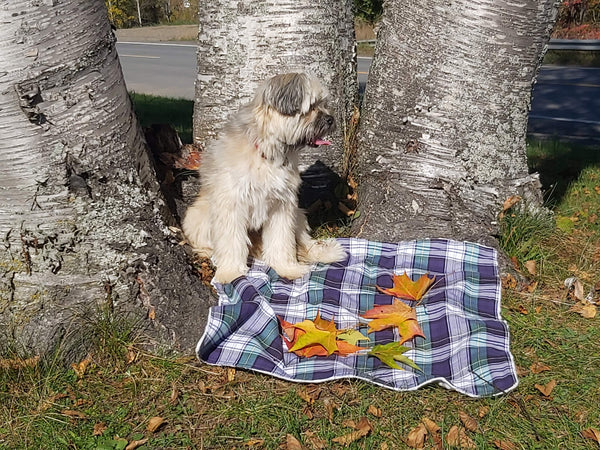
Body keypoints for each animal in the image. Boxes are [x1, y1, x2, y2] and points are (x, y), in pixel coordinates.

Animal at [180, 74, 344, 284]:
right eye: (311, 106)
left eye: (324, 104)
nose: (331, 119)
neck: (267, 153)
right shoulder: (231, 205)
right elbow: (231, 242)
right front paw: (231, 273)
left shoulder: (282, 205)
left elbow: (281, 241)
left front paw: (287, 268)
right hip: (197, 216)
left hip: (298, 214)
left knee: (303, 242)